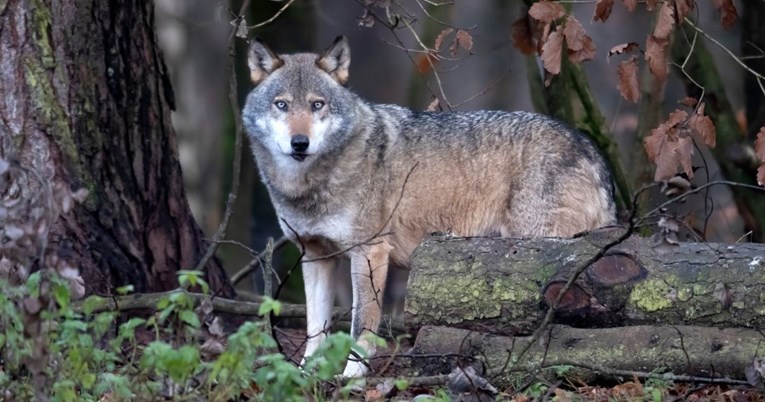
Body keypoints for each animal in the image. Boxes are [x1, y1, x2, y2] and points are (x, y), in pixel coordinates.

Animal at [240, 35, 616, 376]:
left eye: (317, 105)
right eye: (282, 105)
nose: (299, 143)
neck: (312, 186)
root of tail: (591, 148)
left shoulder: (370, 252)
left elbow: (362, 326)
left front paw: (351, 379)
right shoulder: (315, 254)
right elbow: (315, 328)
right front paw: (304, 375)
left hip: (537, 246)